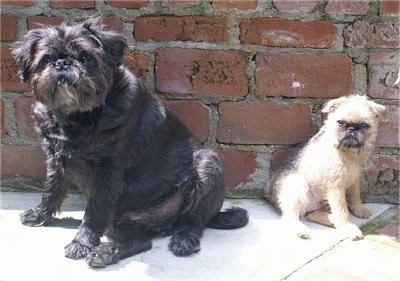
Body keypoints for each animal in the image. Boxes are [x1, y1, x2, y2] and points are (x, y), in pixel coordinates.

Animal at [11, 18, 247, 266]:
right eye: (46, 59)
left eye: (85, 57)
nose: (63, 62)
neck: (77, 117)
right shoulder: (56, 158)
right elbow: (52, 188)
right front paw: (40, 214)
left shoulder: (108, 173)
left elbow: (93, 212)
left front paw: (81, 243)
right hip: (123, 219)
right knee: (141, 242)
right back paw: (106, 253)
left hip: (206, 166)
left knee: (194, 221)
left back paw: (183, 240)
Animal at [266, 95, 388, 240]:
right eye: (340, 122)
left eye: (364, 125)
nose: (352, 129)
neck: (347, 152)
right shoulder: (336, 188)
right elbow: (342, 209)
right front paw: (348, 227)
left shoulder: (354, 181)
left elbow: (355, 197)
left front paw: (358, 209)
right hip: (297, 185)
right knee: (289, 217)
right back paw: (302, 229)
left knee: (311, 215)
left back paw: (332, 220)